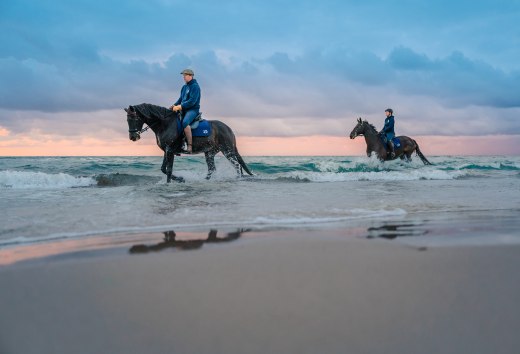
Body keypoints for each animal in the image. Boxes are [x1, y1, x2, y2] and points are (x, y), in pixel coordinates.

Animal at [127, 103, 255, 183]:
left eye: (135, 119)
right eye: (127, 120)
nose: (133, 137)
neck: (165, 124)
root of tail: (228, 129)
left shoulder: (170, 151)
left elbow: (168, 170)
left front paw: (171, 183)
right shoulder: (166, 151)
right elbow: (163, 169)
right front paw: (181, 179)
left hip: (227, 151)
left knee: (237, 165)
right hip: (209, 153)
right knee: (212, 169)